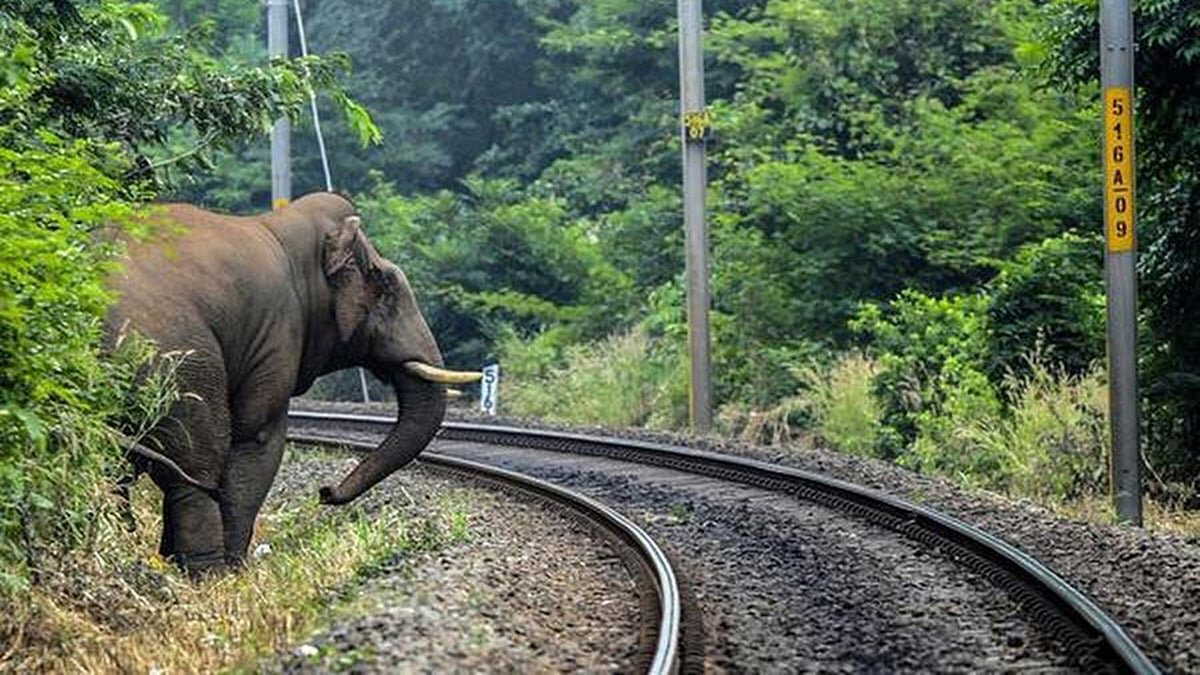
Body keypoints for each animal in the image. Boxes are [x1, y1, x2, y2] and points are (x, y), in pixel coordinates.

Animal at [105, 192, 478, 576]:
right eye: (385, 285)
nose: (325, 492)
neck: (285, 227)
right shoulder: (275, 333)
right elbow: (257, 438)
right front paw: (236, 571)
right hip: (177, 365)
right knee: (194, 467)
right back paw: (208, 573)